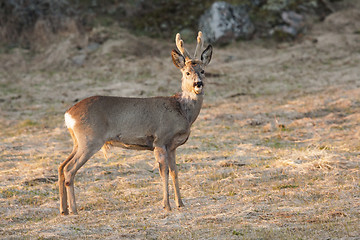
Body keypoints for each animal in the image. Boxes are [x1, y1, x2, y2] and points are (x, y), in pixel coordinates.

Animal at [57, 31, 212, 215]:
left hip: (78, 141)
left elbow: (175, 172)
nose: (198, 84)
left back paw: (63, 209)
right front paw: (166, 205)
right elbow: (164, 173)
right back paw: (73, 209)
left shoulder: (172, 146)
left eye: (203, 70)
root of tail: (68, 114)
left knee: (61, 166)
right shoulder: (160, 140)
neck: (181, 109)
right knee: (69, 169)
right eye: (187, 72)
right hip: (90, 140)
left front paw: (180, 203)